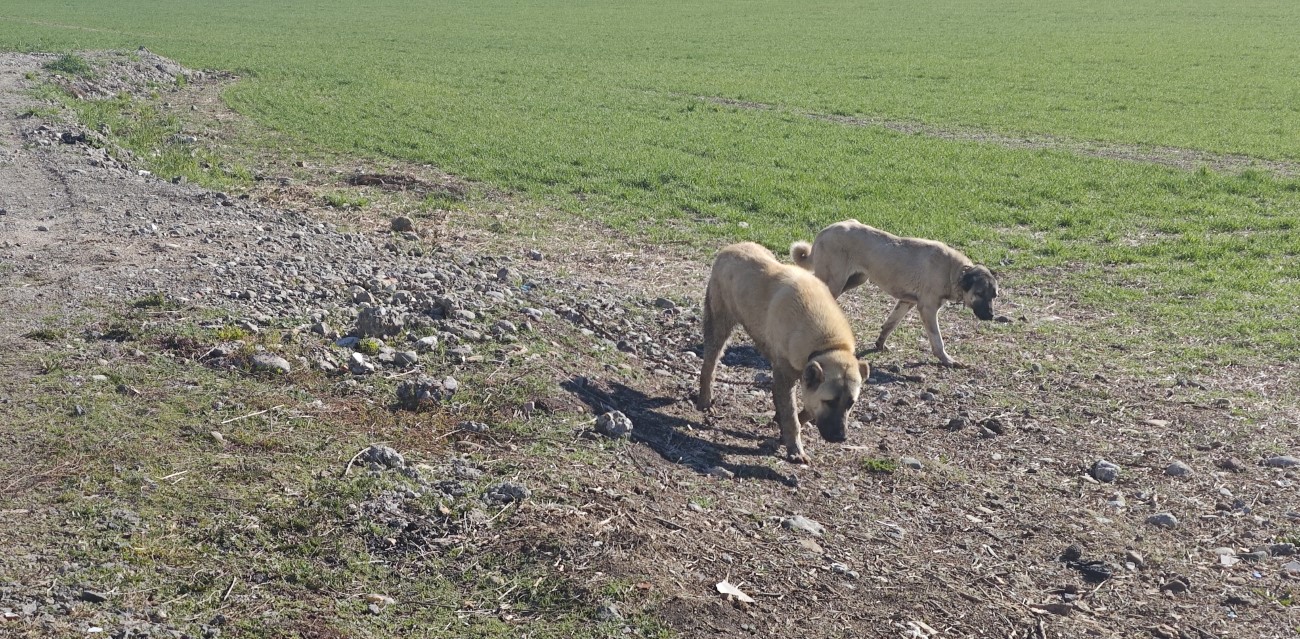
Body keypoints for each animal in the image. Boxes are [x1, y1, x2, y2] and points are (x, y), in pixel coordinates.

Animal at [696, 240, 868, 464]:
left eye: (851, 403)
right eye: (829, 402)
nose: (841, 437)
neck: (828, 344)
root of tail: (729, 249)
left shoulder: (798, 375)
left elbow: (802, 413)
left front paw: (784, 429)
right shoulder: (786, 374)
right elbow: (792, 417)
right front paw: (794, 447)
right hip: (719, 325)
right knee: (709, 364)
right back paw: (705, 399)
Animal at [785, 219, 998, 366]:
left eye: (994, 295)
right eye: (980, 293)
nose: (991, 316)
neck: (956, 272)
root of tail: (825, 231)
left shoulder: (907, 302)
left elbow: (890, 324)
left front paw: (880, 344)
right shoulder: (927, 309)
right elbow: (937, 339)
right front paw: (947, 360)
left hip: (855, 279)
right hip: (835, 280)